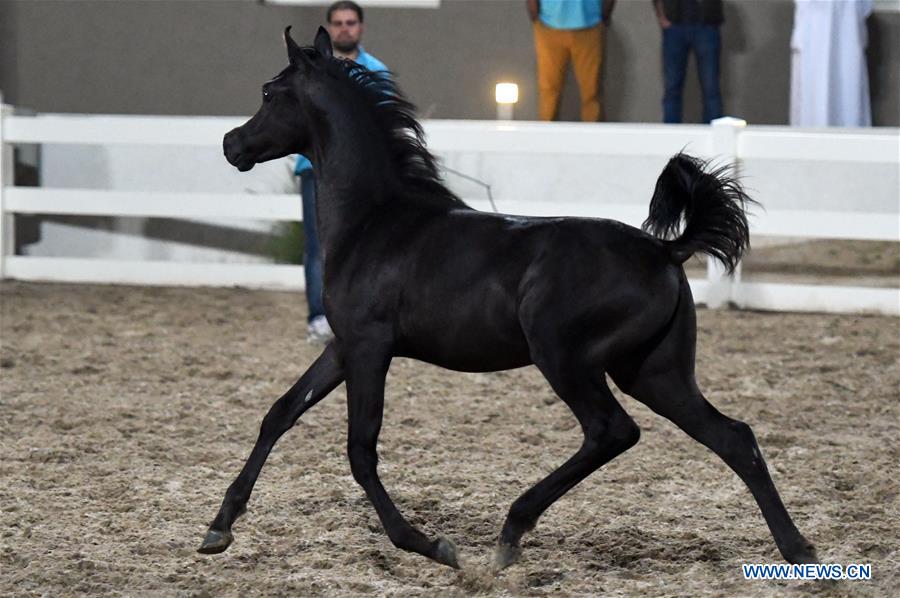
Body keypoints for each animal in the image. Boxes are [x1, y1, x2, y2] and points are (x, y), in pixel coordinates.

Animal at [199, 26, 817, 571]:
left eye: (268, 92)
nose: (231, 144)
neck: (376, 220)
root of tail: (665, 250)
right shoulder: (344, 344)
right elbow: (280, 413)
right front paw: (218, 529)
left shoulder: (371, 347)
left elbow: (360, 449)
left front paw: (431, 546)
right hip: (653, 371)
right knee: (734, 438)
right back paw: (799, 550)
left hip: (565, 357)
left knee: (612, 431)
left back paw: (512, 530)